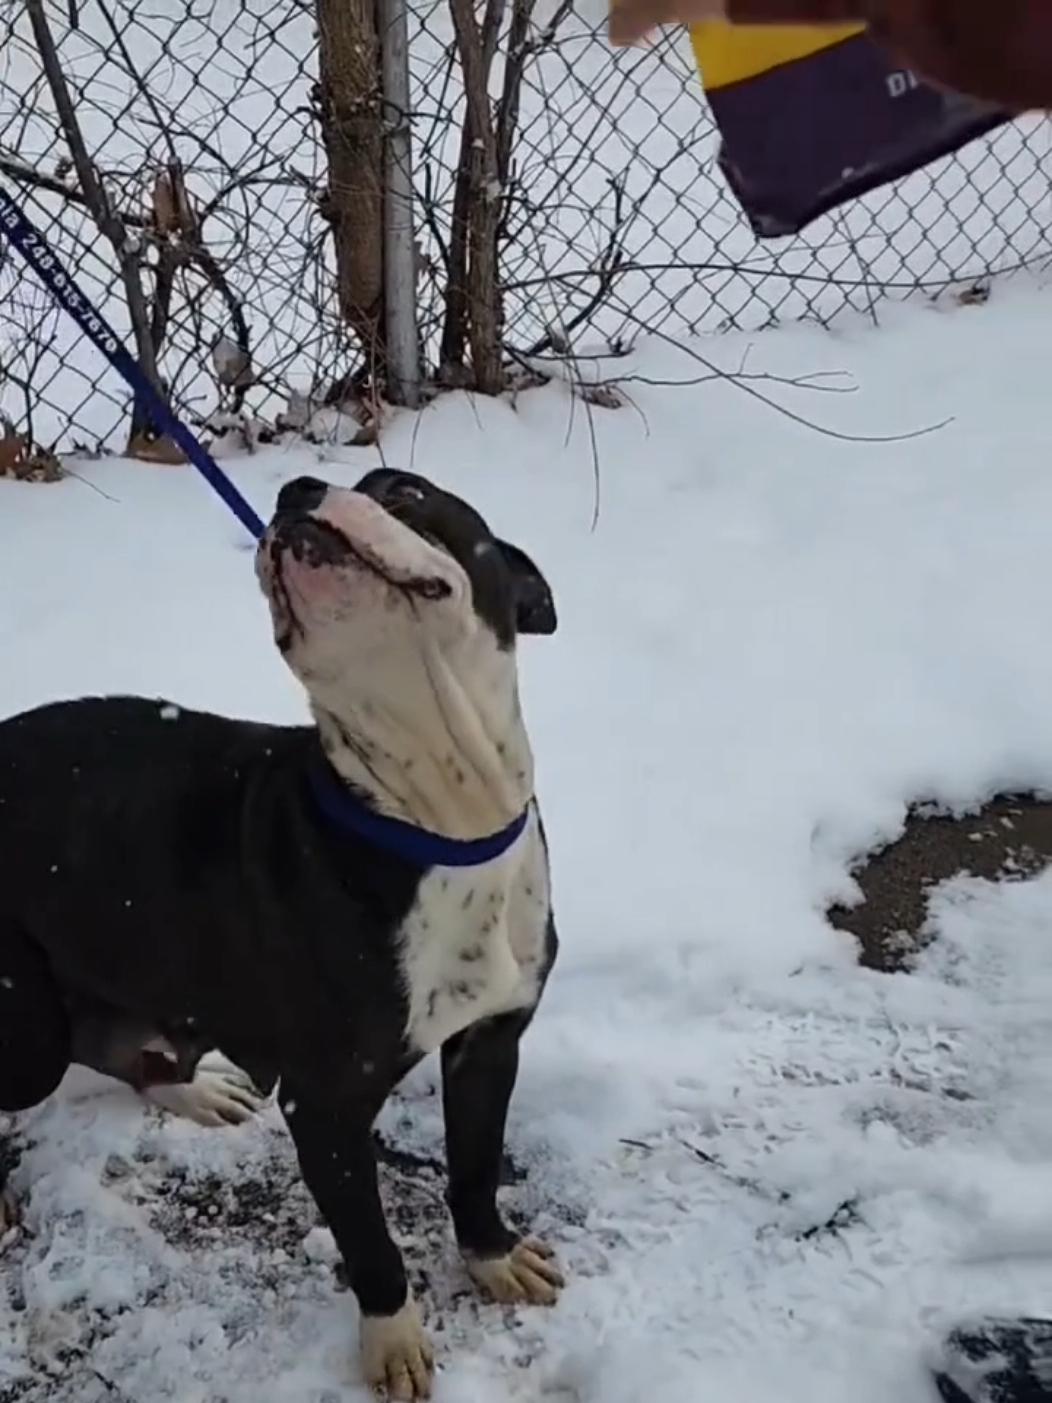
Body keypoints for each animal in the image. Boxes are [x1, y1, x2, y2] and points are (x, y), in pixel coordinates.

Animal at [0, 468, 563, 1391]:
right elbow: (370, 1243)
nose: (296, 488)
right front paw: (393, 1340)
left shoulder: (490, 1040)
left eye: (404, 490)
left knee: (111, 1038)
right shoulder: (325, 1105)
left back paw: (194, 1089)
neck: (434, 819)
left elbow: (477, 1165)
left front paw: (491, 1256)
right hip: (26, 1022)